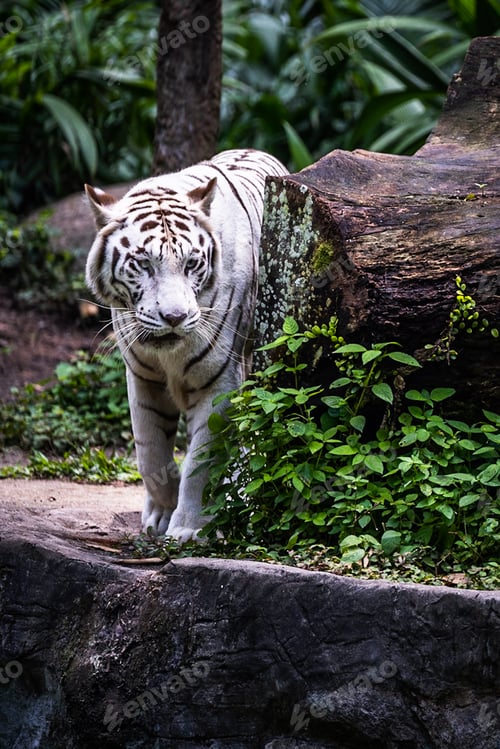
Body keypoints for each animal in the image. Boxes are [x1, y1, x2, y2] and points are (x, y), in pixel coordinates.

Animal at [85, 149, 288, 543]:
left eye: (192, 263)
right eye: (143, 264)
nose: (175, 317)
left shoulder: (219, 383)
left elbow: (201, 461)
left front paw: (189, 528)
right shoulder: (142, 377)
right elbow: (150, 450)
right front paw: (161, 514)